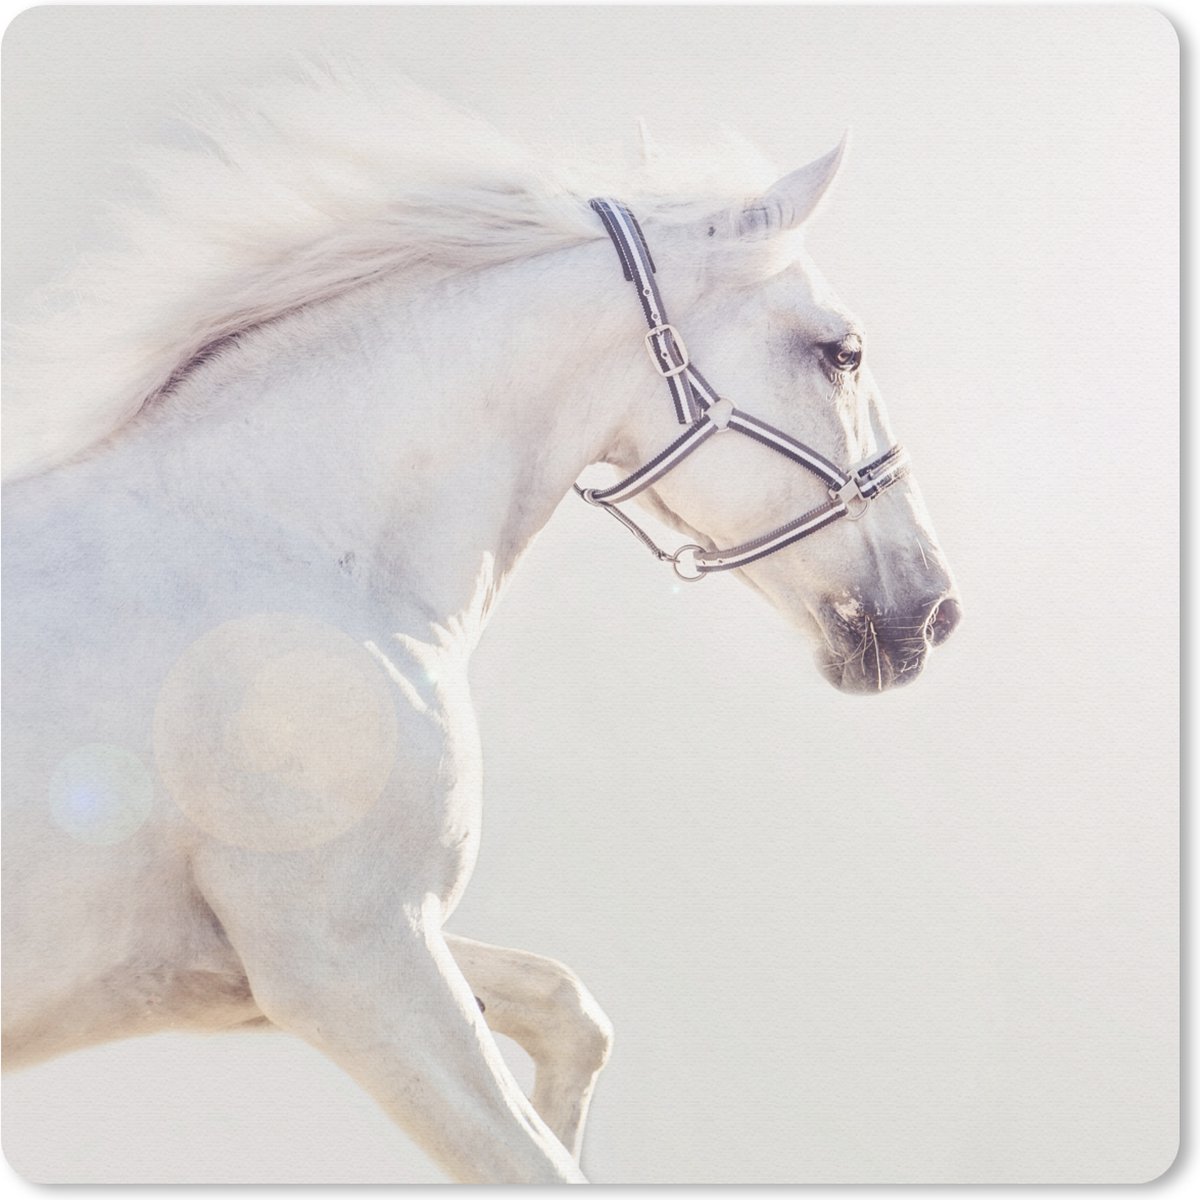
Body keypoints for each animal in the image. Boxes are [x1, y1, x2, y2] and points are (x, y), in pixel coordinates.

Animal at [2, 67, 959, 1183]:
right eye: (842, 352)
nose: (934, 610)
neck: (291, 549)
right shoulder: (352, 966)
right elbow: (531, 1155)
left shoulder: (266, 969)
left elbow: (570, 1011)